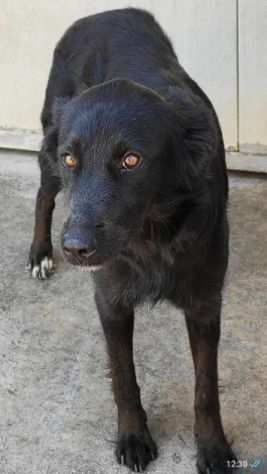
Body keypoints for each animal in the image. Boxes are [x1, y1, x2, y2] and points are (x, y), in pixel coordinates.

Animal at [29, 8, 238, 474]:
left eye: (131, 160)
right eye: (72, 158)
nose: (75, 248)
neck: (152, 236)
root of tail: (105, 12)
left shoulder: (205, 303)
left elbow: (206, 386)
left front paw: (213, 447)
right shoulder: (110, 299)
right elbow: (124, 375)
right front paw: (133, 436)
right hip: (48, 153)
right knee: (43, 195)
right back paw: (38, 254)